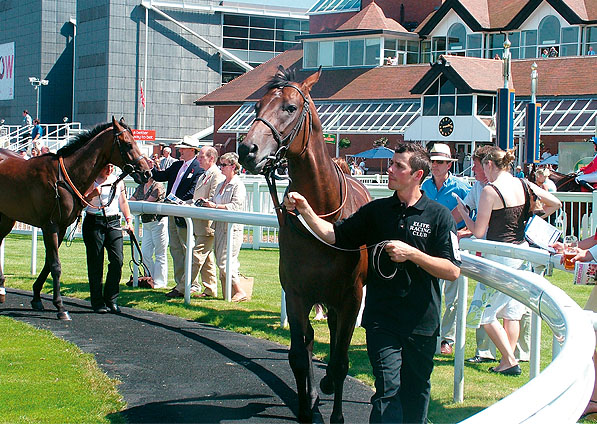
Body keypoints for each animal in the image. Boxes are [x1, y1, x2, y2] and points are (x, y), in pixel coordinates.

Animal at [0, 117, 152, 320]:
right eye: (128, 144)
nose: (147, 173)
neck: (62, 178)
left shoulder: (62, 226)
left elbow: (49, 262)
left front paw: (37, 297)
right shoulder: (50, 226)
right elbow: (55, 265)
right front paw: (60, 307)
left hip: (6, 217)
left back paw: (1, 289)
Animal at [239, 64, 370, 422]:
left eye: (290, 107)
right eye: (256, 107)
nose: (247, 149)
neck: (323, 217)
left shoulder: (351, 298)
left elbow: (340, 362)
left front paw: (334, 408)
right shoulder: (297, 293)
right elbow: (299, 354)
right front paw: (305, 405)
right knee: (310, 341)